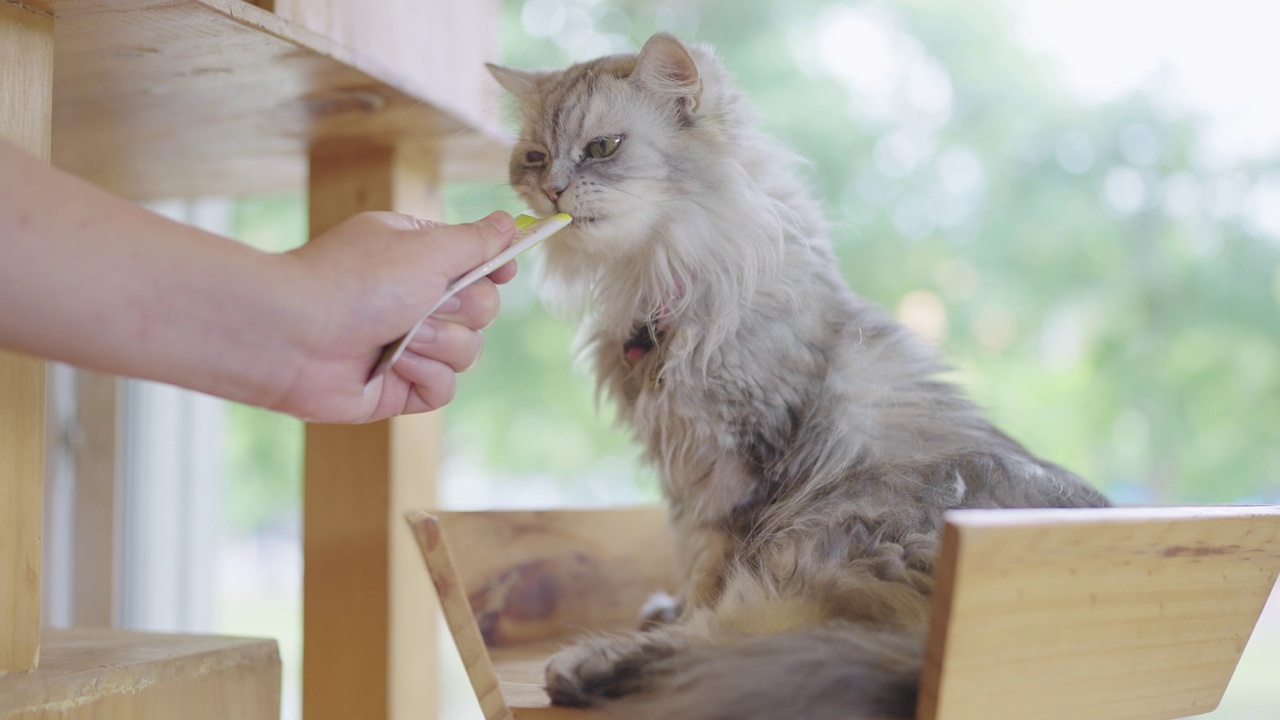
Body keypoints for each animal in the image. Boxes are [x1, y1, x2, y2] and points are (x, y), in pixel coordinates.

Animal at [483, 33, 1105, 717]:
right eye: (535, 158)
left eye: (602, 147)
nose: (553, 191)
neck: (658, 278)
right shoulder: (683, 474)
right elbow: (689, 555)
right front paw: (671, 603)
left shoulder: (736, 465)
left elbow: (708, 571)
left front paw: (675, 611)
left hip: (828, 537)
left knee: (733, 645)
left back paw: (587, 665)